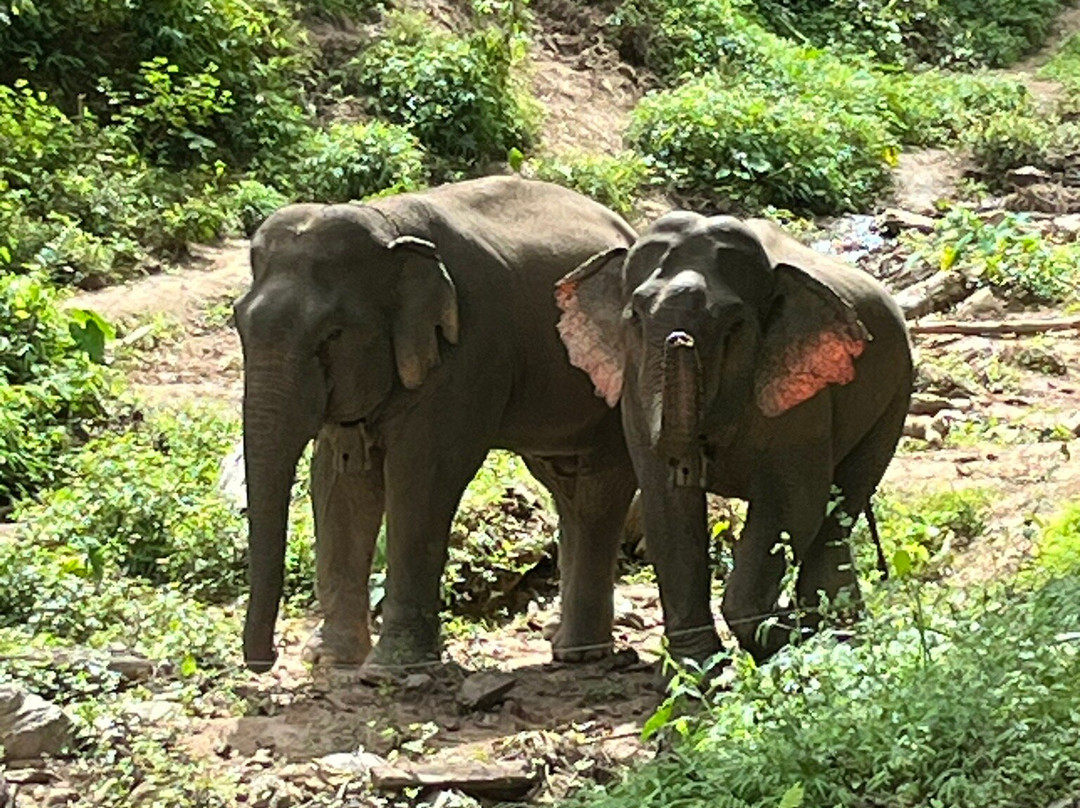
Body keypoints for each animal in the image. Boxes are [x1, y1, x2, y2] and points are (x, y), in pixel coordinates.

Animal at [234, 175, 639, 675]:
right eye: (238, 322)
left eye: (331, 335)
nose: (263, 661)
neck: (388, 226)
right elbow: (338, 478)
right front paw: (331, 659)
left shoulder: (469, 348)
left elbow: (421, 476)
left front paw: (390, 669)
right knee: (566, 488)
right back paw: (564, 642)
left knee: (600, 489)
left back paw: (581, 653)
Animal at [555, 211, 912, 665]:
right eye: (634, 316)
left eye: (734, 326)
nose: (679, 338)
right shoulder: (633, 393)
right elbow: (667, 508)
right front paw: (699, 670)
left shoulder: (802, 402)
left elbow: (793, 502)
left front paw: (777, 636)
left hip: (895, 396)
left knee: (842, 502)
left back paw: (832, 630)